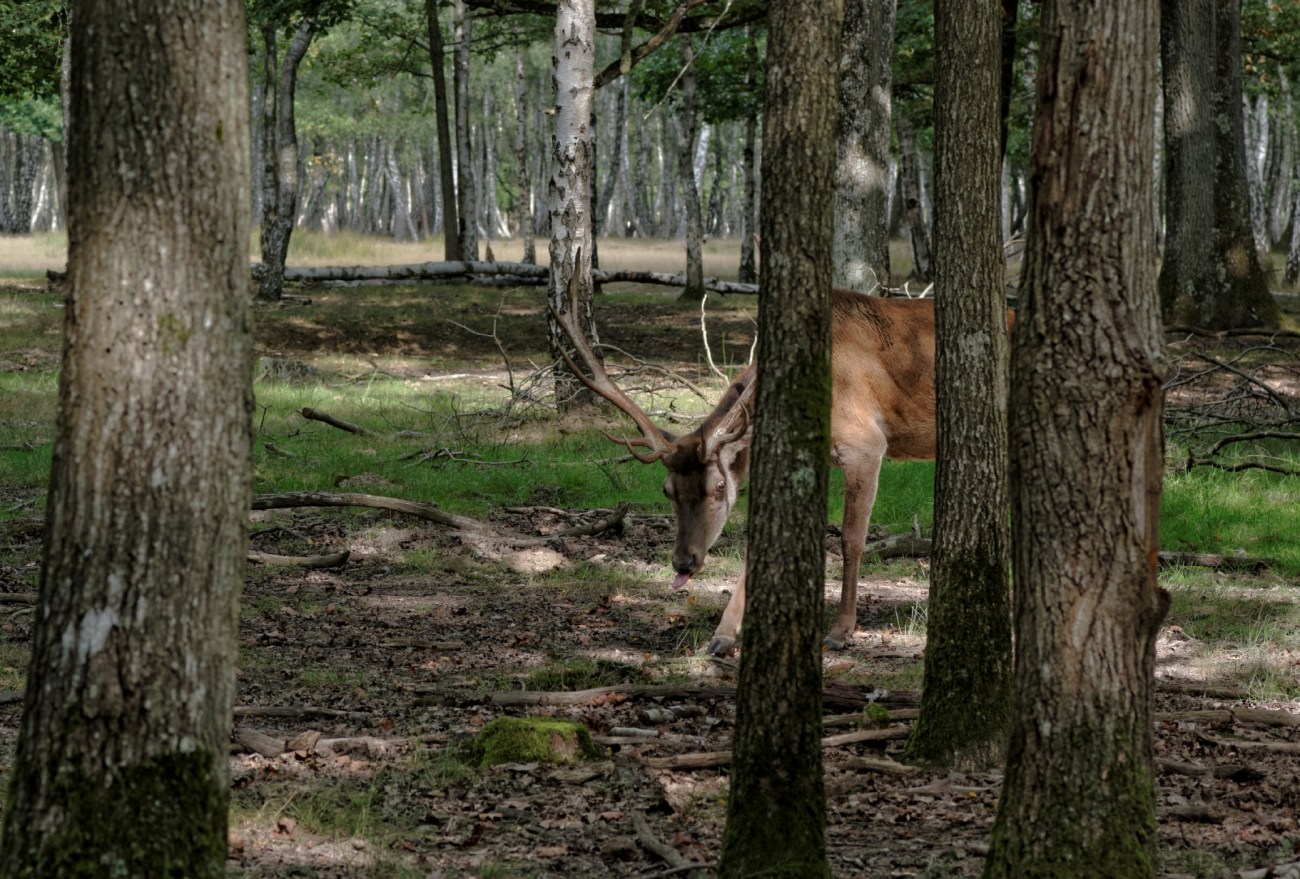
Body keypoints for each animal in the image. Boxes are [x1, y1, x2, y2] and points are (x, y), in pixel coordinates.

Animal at [552, 273, 939, 656]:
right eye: (666, 490)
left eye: (719, 485)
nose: (683, 562)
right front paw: (722, 635)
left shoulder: (866, 446)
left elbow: (851, 539)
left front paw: (840, 630)